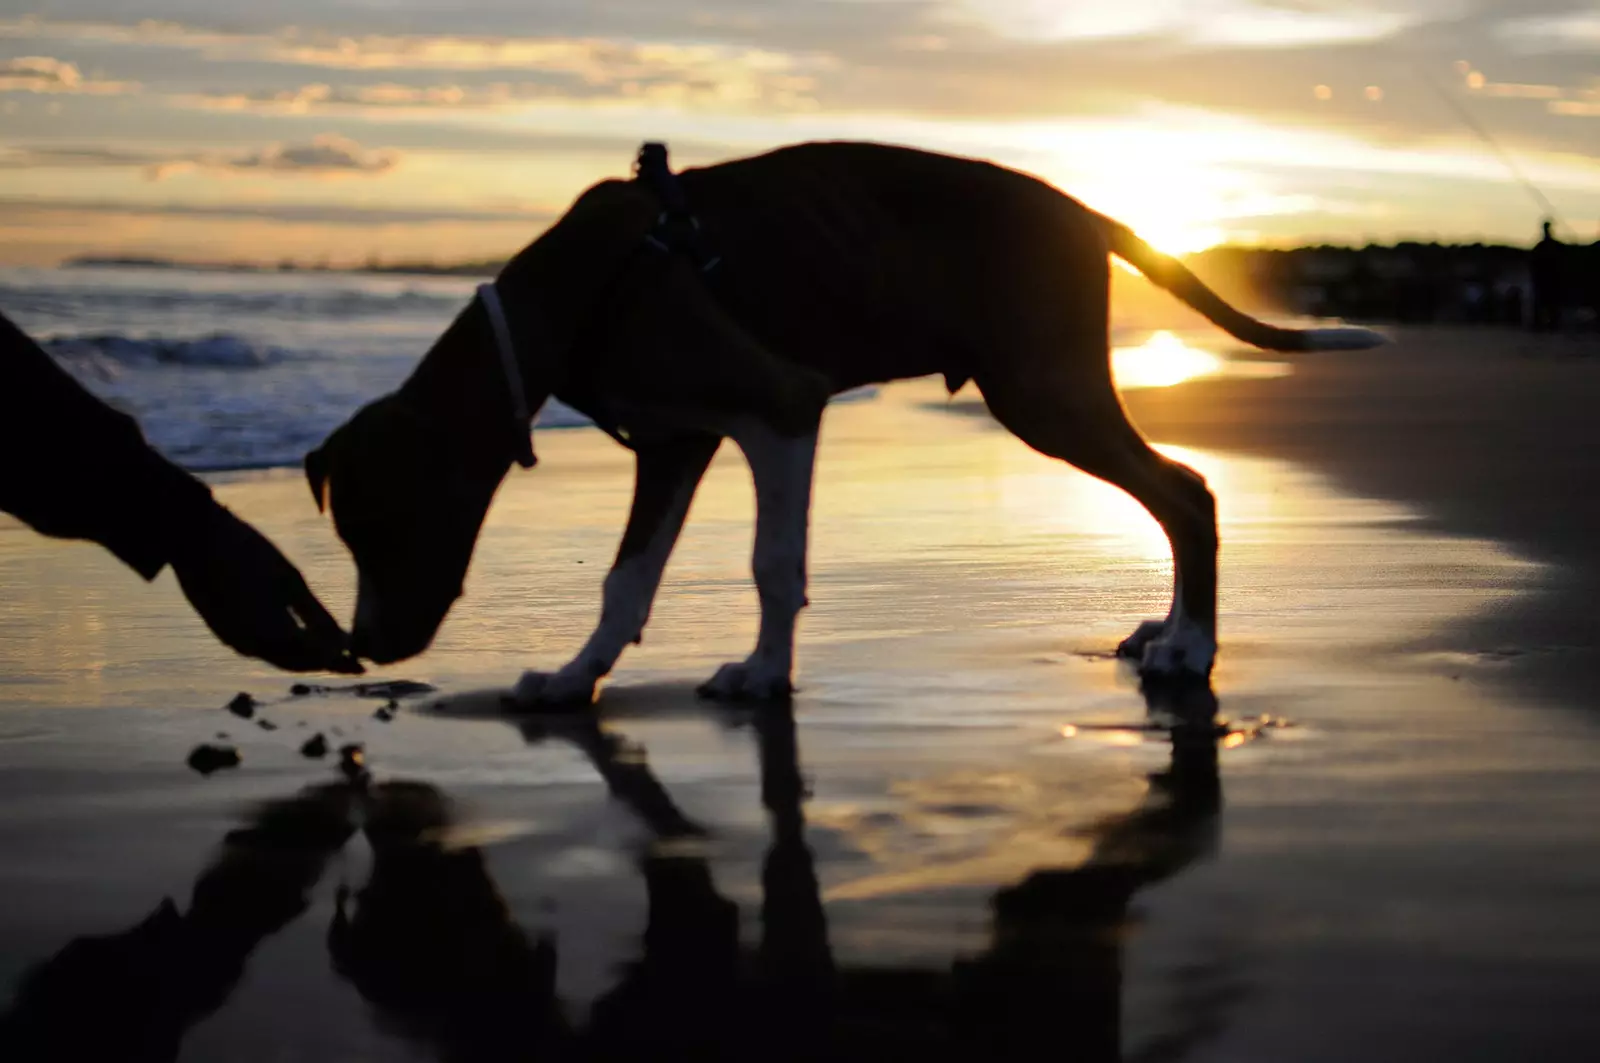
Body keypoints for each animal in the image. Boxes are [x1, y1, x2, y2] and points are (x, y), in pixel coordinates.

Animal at [305, 140, 1382, 704]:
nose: (364, 646)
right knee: (1170, 491)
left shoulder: (780, 406)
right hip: (1046, 392)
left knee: (1185, 490)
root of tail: (1087, 211)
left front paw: (763, 671)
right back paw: (1168, 624)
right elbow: (626, 578)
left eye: (384, 527)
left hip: (1042, 392)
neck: (573, 291)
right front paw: (578, 676)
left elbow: (772, 562)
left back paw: (1190, 647)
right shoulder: (675, 443)